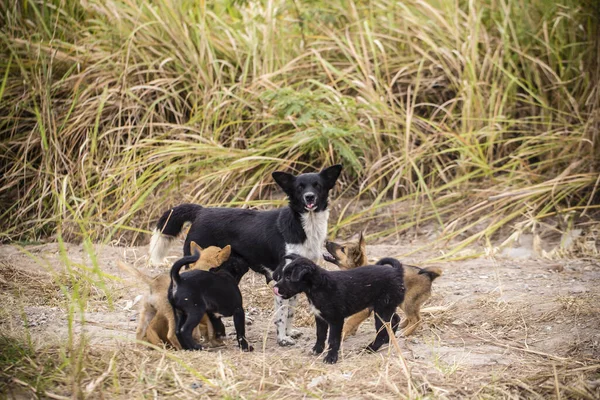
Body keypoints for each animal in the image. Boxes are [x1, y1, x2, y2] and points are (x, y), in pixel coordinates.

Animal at [148, 164, 342, 346]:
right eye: (300, 188)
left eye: (317, 186)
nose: (309, 197)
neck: (305, 224)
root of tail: (201, 211)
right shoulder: (280, 277)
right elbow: (281, 314)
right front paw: (282, 339)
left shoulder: (294, 280)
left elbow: (290, 312)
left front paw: (289, 332)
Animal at [274, 255, 406, 364]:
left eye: (288, 277)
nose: (275, 288)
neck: (319, 286)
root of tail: (397, 271)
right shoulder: (320, 317)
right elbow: (320, 334)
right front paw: (317, 349)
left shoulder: (336, 319)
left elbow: (333, 340)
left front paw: (331, 358)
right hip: (384, 307)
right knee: (394, 320)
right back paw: (388, 340)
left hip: (382, 308)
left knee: (383, 329)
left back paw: (370, 348)